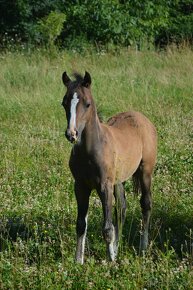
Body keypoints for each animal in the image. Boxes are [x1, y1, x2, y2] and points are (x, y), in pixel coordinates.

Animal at [61, 71, 157, 264]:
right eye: (64, 102)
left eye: (87, 104)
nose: (71, 134)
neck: (90, 150)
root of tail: (142, 118)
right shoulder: (80, 186)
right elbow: (81, 224)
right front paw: (78, 261)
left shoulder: (104, 186)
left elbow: (107, 227)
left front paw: (110, 262)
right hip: (118, 181)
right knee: (122, 208)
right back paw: (117, 248)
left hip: (145, 172)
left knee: (146, 204)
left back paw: (142, 248)